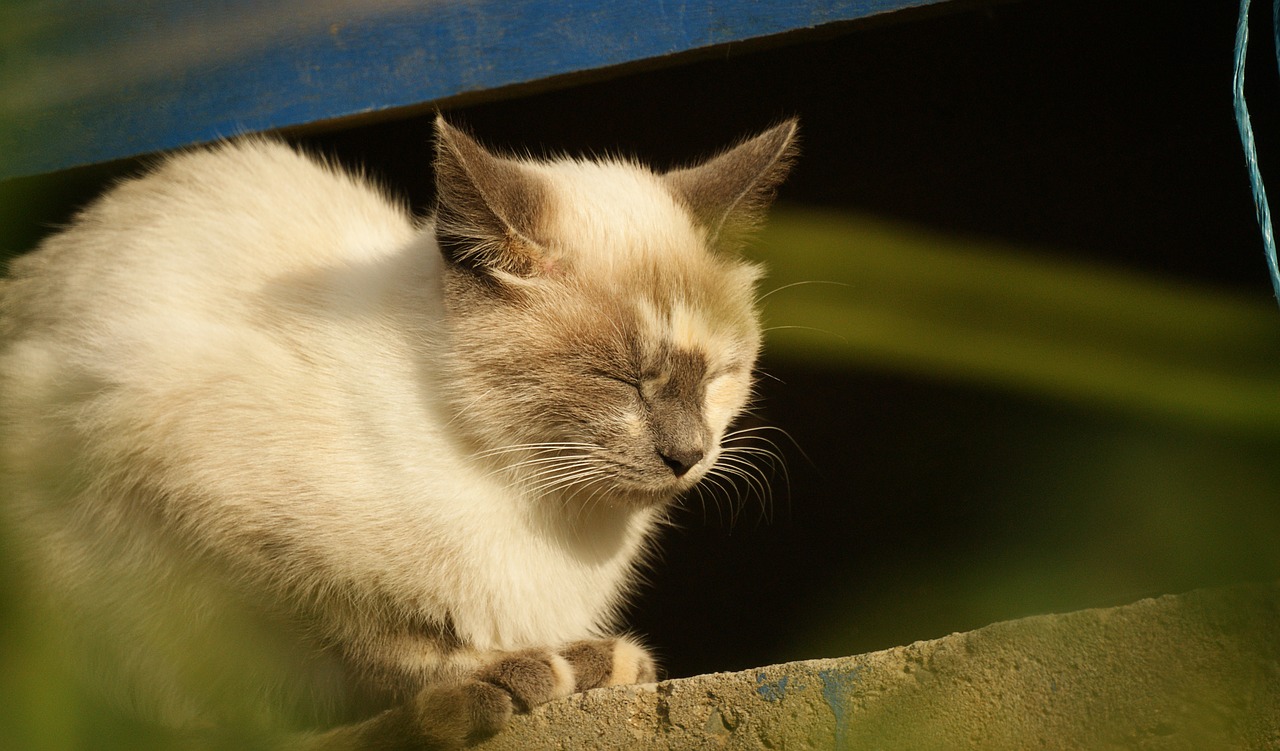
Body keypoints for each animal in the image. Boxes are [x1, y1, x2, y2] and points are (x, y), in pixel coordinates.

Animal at [0, 114, 793, 747]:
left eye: (719, 375)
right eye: (619, 379)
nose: (687, 454)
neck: (539, 504)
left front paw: (591, 662)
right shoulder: (198, 504)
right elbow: (372, 641)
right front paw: (504, 673)